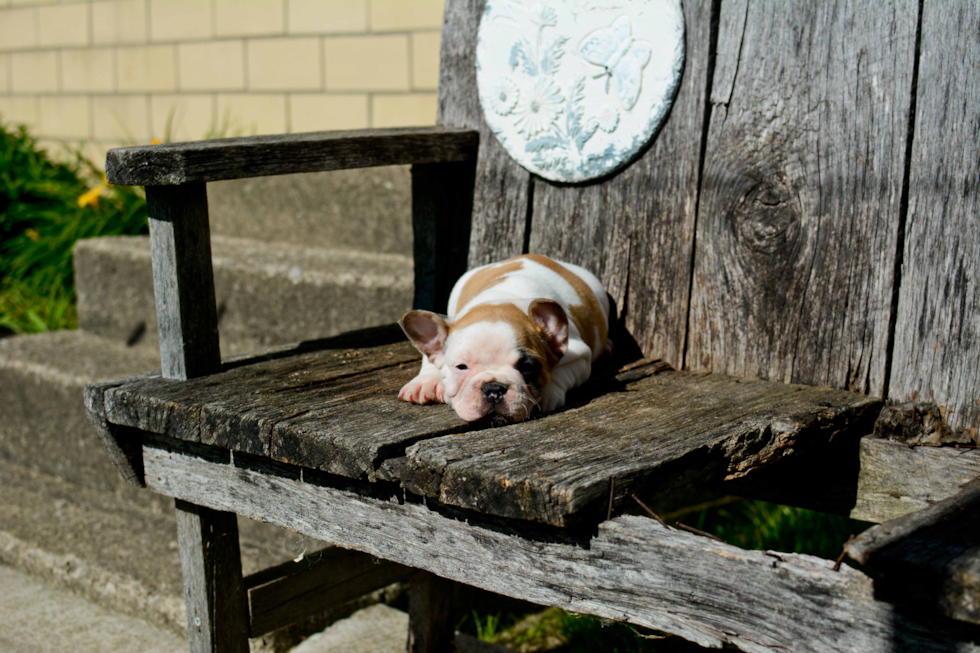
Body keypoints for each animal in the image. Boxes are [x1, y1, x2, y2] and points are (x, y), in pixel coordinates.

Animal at [396, 255, 604, 422]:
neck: (498, 304)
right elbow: (430, 357)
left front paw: (547, 394)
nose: (494, 389)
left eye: (527, 367)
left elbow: (560, 374)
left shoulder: (580, 356)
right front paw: (426, 382)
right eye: (461, 367)